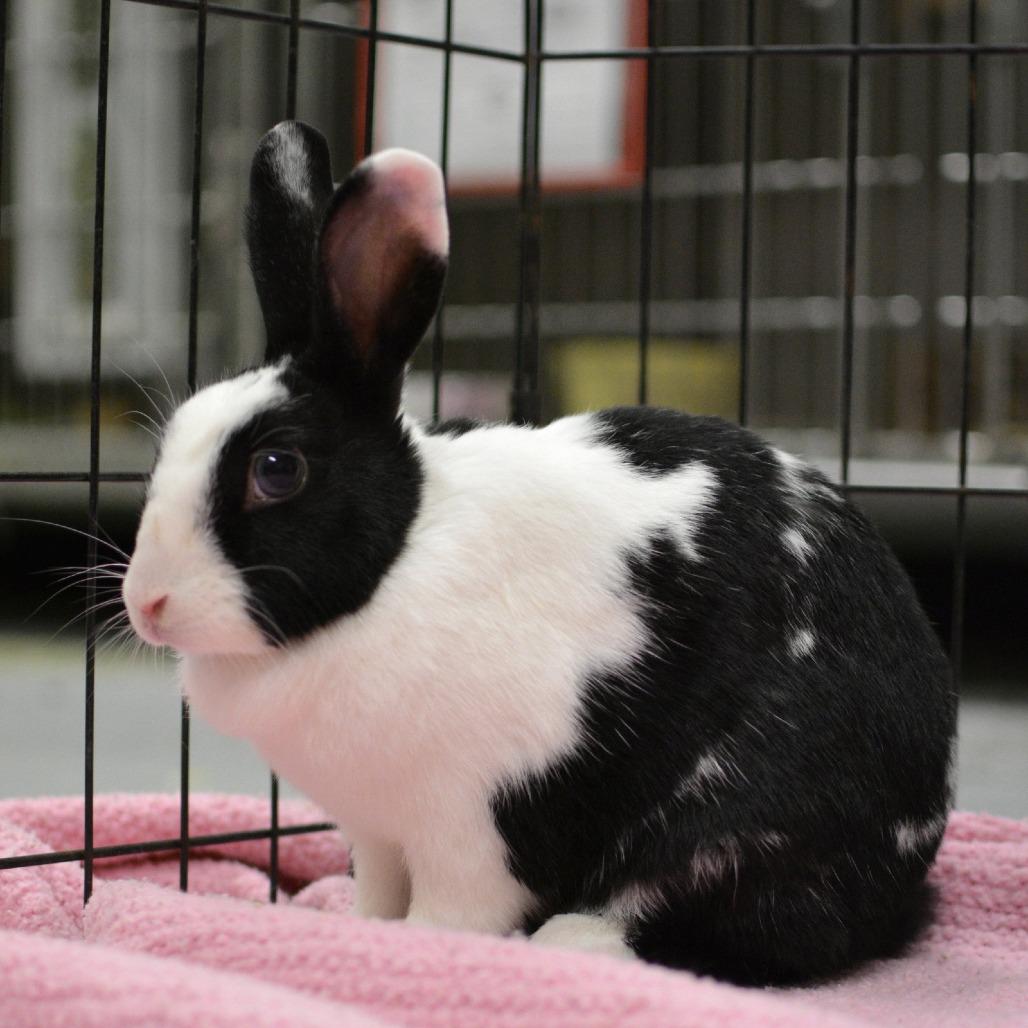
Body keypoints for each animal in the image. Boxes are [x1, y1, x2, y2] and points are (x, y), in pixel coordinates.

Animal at [122, 120, 956, 986]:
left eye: (277, 469)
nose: (146, 604)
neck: (394, 569)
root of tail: (910, 869)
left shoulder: (474, 825)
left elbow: (454, 913)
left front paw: (421, 949)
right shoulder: (377, 835)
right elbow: (377, 896)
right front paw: (359, 930)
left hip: (745, 828)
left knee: (757, 934)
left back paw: (576, 941)